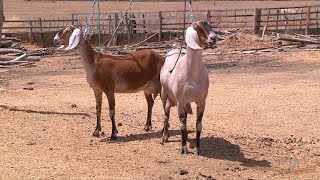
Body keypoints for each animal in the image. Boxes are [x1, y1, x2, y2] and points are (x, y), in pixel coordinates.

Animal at [161, 20, 216, 155]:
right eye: (198, 28)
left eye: (209, 25)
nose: (214, 38)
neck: (192, 74)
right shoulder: (180, 101)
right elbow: (182, 125)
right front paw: (183, 148)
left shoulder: (201, 101)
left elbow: (198, 125)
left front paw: (198, 149)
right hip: (164, 94)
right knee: (166, 114)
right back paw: (165, 137)